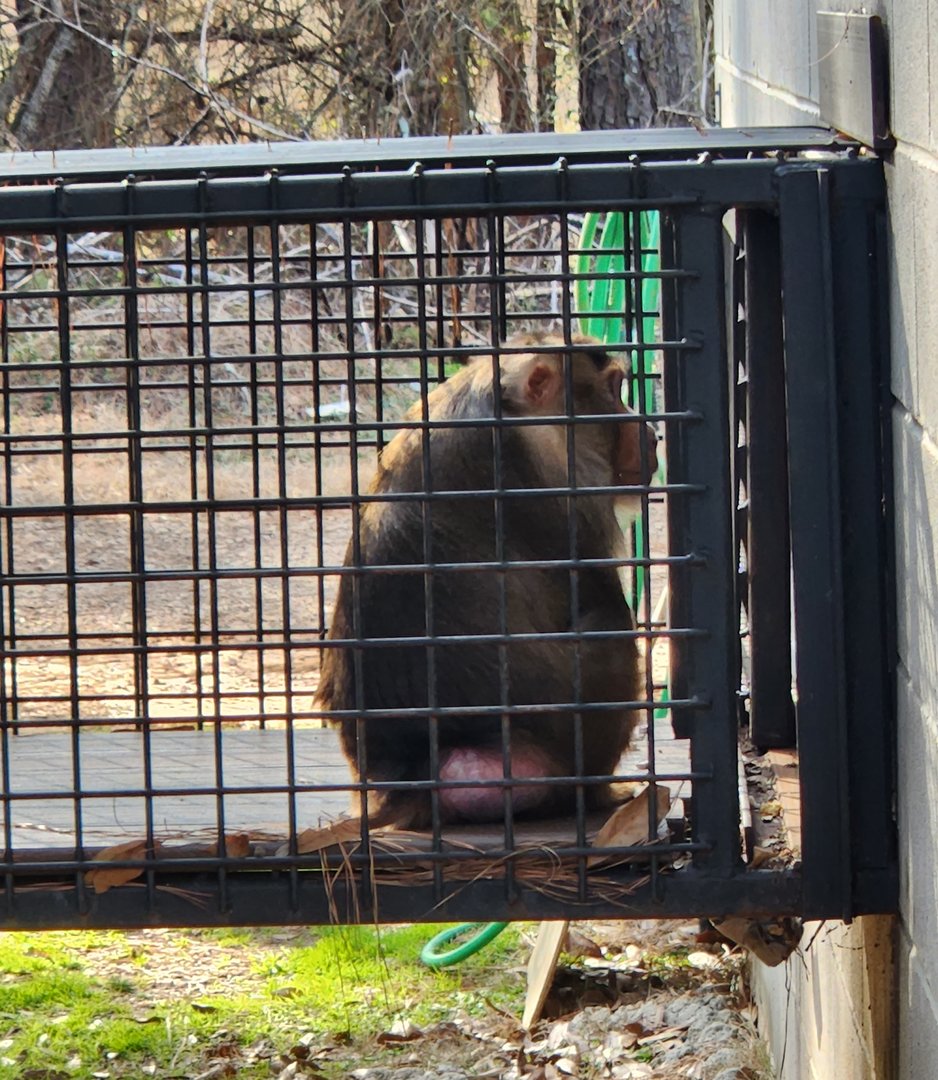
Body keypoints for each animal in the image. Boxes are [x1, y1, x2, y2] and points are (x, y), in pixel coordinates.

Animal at [315, 334, 659, 828]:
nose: (651, 433)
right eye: (614, 390)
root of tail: (410, 780)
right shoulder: (565, 483)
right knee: (609, 625)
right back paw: (599, 794)